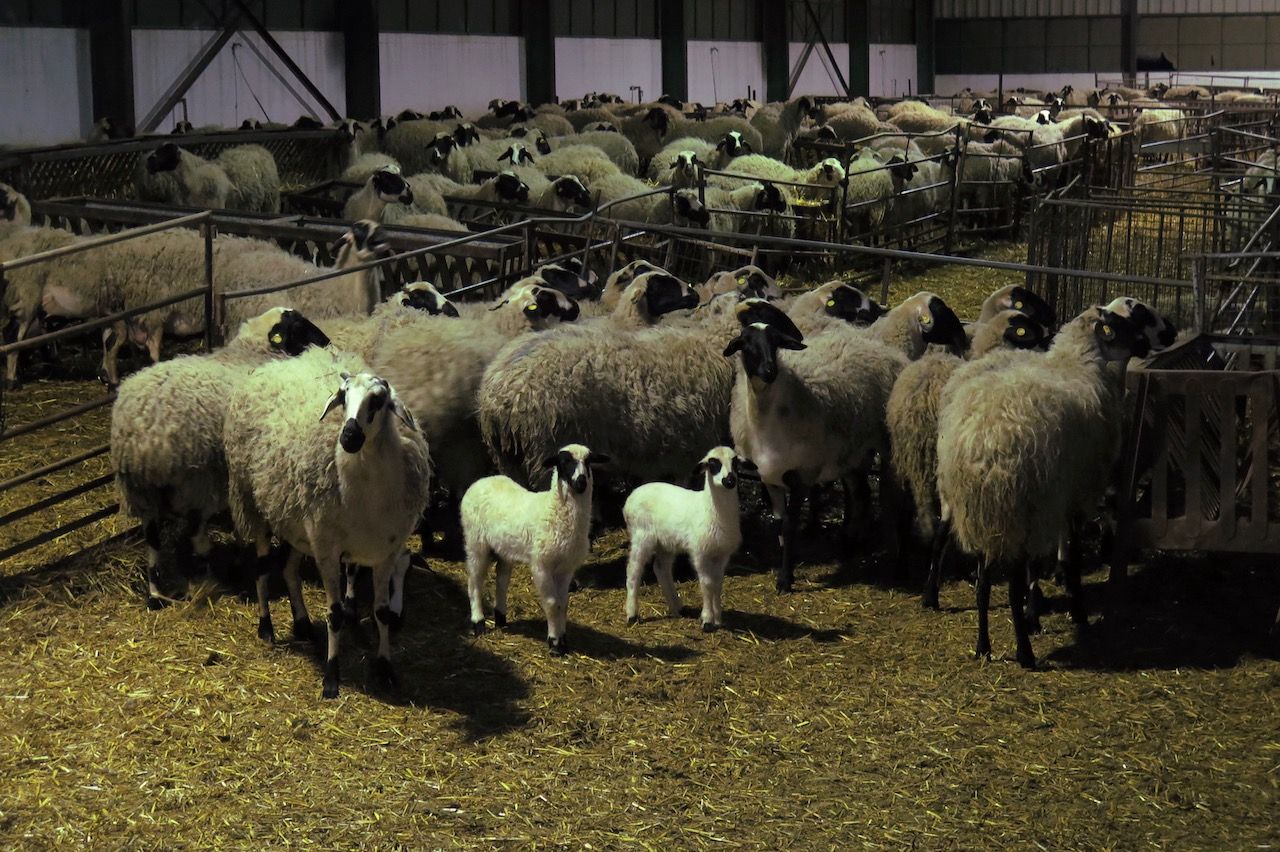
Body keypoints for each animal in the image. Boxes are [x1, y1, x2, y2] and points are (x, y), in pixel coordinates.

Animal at [111, 308, 333, 609]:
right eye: (298, 326)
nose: (327, 342)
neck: (249, 353)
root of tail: (140, 441)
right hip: (195, 484)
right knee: (193, 536)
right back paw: (211, 577)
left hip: (142, 492)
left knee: (153, 537)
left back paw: (156, 594)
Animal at [225, 352, 431, 697]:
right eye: (342, 397)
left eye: (379, 400)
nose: (348, 437)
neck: (367, 497)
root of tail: (278, 363)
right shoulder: (328, 549)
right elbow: (335, 615)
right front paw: (332, 677)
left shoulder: (384, 550)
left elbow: (381, 612)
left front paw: (385, 667)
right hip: (255, 504)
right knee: (263, 568)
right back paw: (266, 627)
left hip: (296, 520)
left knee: (289, 570)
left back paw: (302, 623)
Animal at [461, 444, 609, 654]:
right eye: (564, 462)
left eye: (588, 461)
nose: (581, 481)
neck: (554, 509)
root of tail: (483, 481)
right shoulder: (541, 565)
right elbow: (552, 604)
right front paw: (555, 643)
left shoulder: (566, 568)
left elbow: (563, 604)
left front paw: (563, 640)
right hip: (475, 541)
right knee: (474, 582)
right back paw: (478, 623)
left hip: (504, 547)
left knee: (502, 579)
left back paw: (501, 618)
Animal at [623, 446, 750, 631]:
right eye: (713, 463)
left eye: (735, 462)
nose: (730, 480)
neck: (710, 510)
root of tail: (631, 497)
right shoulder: (700, 553)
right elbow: (707, 583)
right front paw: (707, 620)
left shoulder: (722, 554)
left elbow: (718, 583)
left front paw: (718, 618)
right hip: (642, 535)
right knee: (634, 570)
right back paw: (632, 614)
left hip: (665, 542)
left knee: (661, 569)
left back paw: (677, 607)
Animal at [935, 306, 1152, 667]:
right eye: (1122, 325)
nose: (1147, 344)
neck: (1079, 361)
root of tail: (983, 442)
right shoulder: (1073, 497)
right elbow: (1071, 557)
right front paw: (1075, 610)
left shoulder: (1056, 500)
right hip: (1018, 513)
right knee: (1011, 587)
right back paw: (1024, 653)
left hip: (982, 517)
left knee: (982, 585)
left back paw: (983, 647)